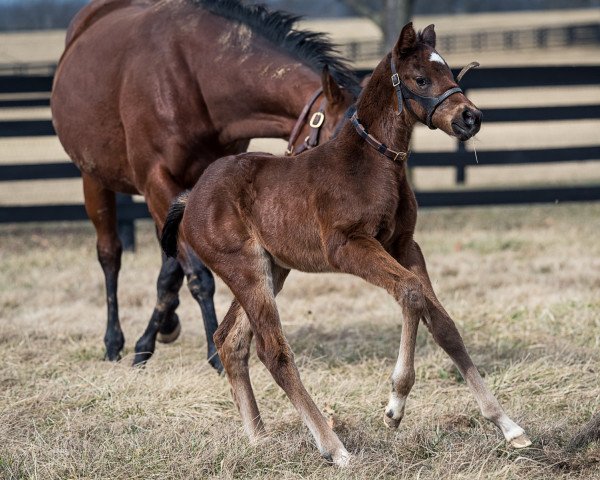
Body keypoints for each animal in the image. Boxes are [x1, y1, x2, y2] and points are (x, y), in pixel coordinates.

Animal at [51, 0, 358, 372]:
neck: (193, 78)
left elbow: (174, 271)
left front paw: (151, 339)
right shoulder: (157, 181)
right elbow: (198, 274)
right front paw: (215, 353)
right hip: (94, 179)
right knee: (110, 254)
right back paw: (113, 342)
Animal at [162, 23, 532, 464]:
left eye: (449, 73)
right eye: (420, 79)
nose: (469, 117)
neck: (372, 164)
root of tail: (190, 198)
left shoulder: (405, 246)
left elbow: (442, 323)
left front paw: (507, 425)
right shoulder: (348, 247)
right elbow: (411, 294)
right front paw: (395, 406)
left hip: (272, 269)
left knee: (230, 341)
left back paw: (259, 440)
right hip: (244, 269)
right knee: (272, 351)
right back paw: (334, 447)